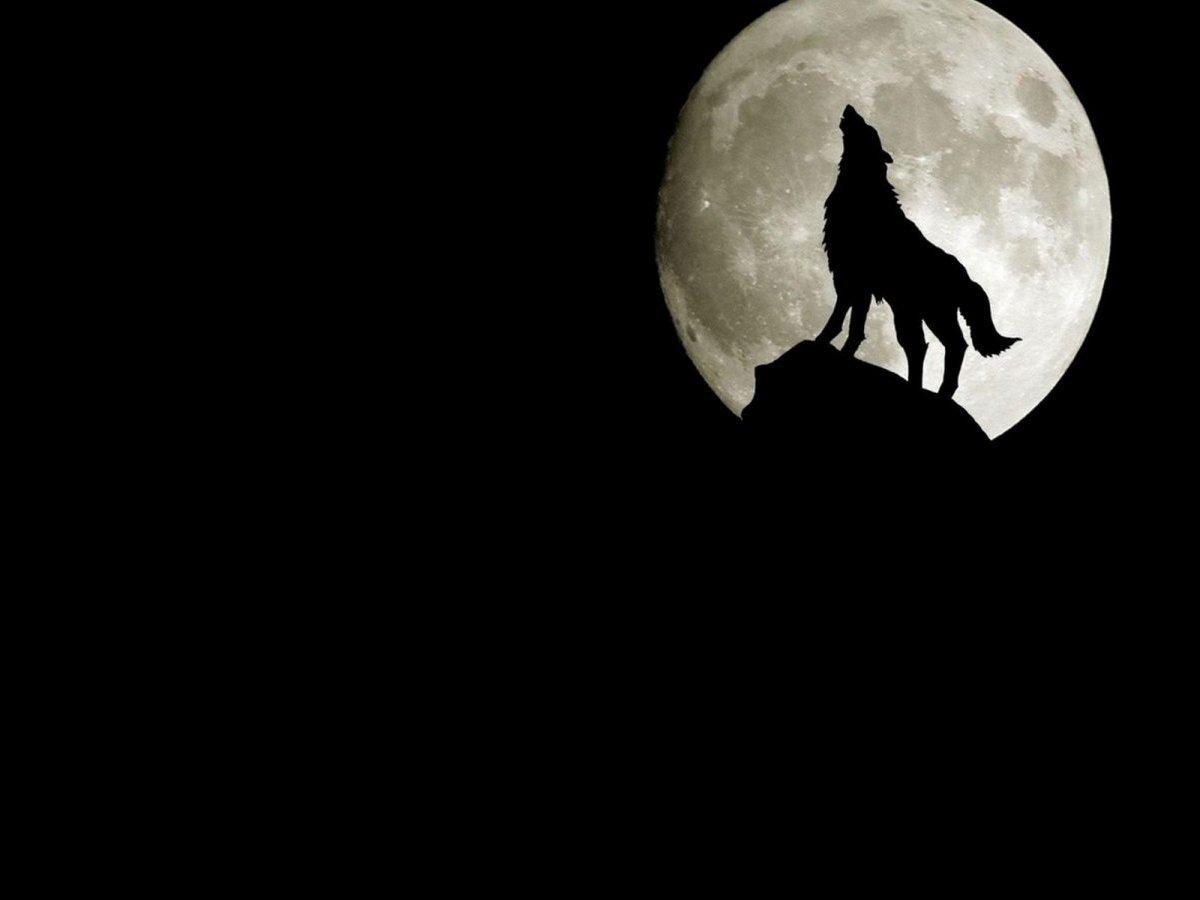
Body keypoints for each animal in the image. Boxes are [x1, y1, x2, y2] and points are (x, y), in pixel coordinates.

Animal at [817, 105, 1019, 397]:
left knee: (952, 345)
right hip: (909, 312)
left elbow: (839, 321)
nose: (850, 108)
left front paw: (820, 343)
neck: (863, 192)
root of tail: (967, 277)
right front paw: (841, 352)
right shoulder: (856, 284)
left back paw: (940, 393)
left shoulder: (853, 279)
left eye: (868, 128)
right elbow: (854, 327)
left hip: (931, 314)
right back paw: (921, 388)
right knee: (919, 346)